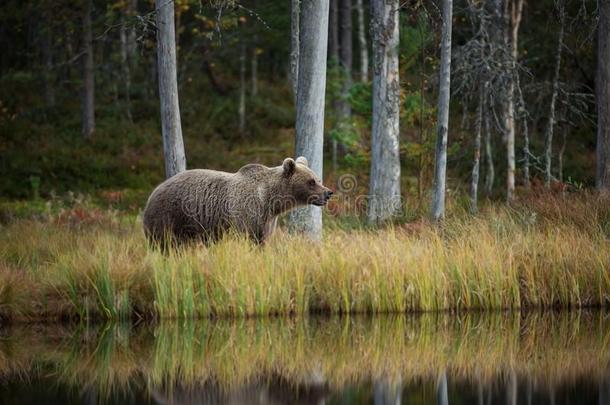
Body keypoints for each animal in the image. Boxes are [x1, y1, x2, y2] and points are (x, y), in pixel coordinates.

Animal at [142, 156, 332, 246]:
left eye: (318, 178)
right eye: (311, 182)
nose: (328, 193)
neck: (270, 200)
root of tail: (152, 192)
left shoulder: (267, 220)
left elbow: (262, 239)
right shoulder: (247, 212)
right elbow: (249, 238)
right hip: (169, 216)